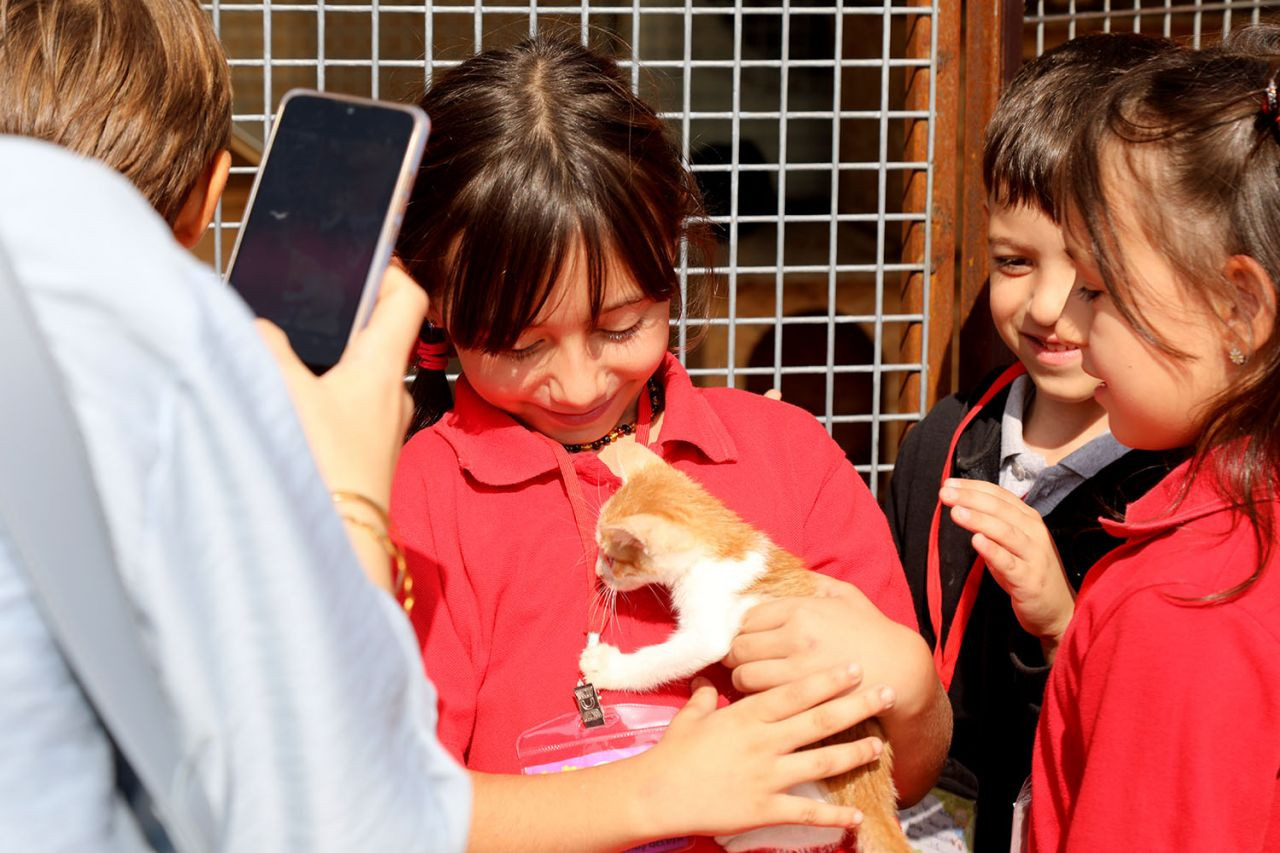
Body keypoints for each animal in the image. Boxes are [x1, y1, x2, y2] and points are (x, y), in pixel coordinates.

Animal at [581, 440, 911, 850]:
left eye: (611, 556)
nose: (598, 572)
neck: (722, 545)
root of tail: (874, 791)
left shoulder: (709, 629)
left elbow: (662, 660)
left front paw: (607, 667)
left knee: (831, 823)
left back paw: (740, 836)